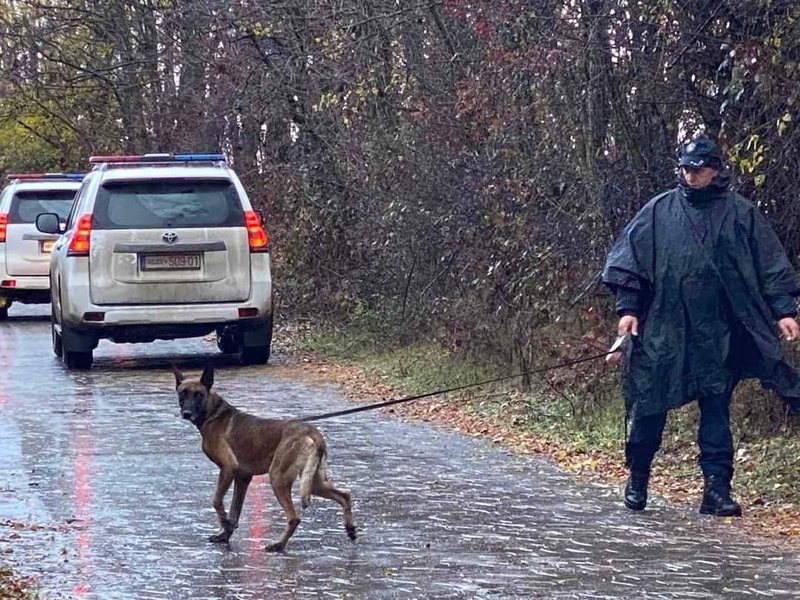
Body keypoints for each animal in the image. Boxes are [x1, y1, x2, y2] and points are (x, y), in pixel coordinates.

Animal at [174, 364, 356, 552]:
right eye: (182, 394)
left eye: (198, 394)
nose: (186, 413)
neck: (213, 413)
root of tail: (313, 434)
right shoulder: (243, 477)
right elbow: (235, 510)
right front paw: (225, 534)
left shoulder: (227, 468)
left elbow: (217, 501)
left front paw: (224, 523)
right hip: (314, 483)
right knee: (344, 495)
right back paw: (349, 529)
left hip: (278, 478)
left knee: (294, 518)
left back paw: (278, 544)